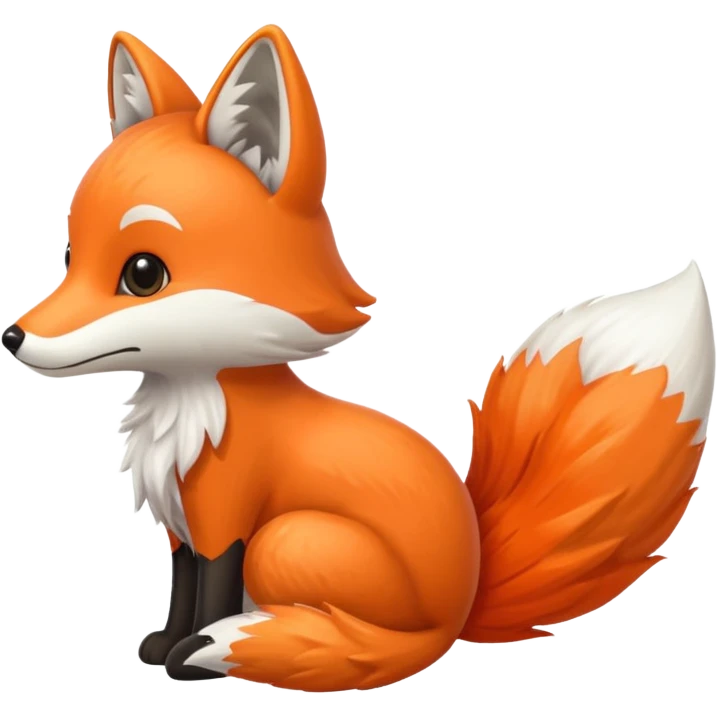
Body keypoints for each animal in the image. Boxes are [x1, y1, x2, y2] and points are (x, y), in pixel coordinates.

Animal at [2, 24, 714, 693]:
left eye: (142, 274)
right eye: (70, 258)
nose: (13, 337)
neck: (191, 411)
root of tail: (463, 604)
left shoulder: (227, 516)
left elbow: (212, 592)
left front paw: (193, 659)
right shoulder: (182, 525)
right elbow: (182, 590)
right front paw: (163, 646)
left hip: (287, 539)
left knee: (379, 643)